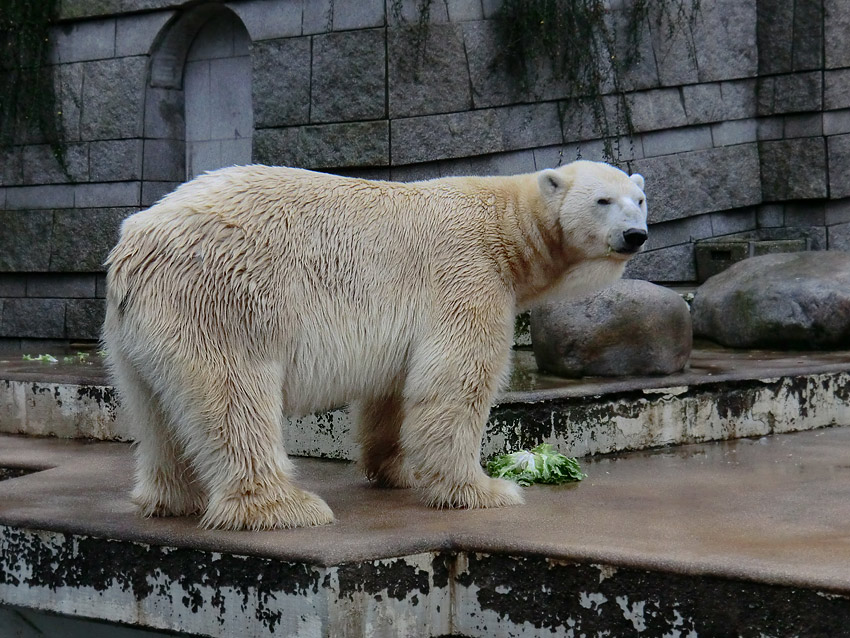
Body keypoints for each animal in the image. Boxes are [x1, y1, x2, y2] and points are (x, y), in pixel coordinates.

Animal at [104, 160, 648, 528]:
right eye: (602, 200)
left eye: (638, 200)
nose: (635, 235)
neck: (504, 225)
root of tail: (135, 245)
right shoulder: (467, 273)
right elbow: (456, 383)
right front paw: (484, 489)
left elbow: (395, 389)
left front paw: (397, 471)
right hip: (224, 301)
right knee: (234, 396)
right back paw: (287, 507)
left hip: (137, 334)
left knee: (155, 409)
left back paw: (172, 499)